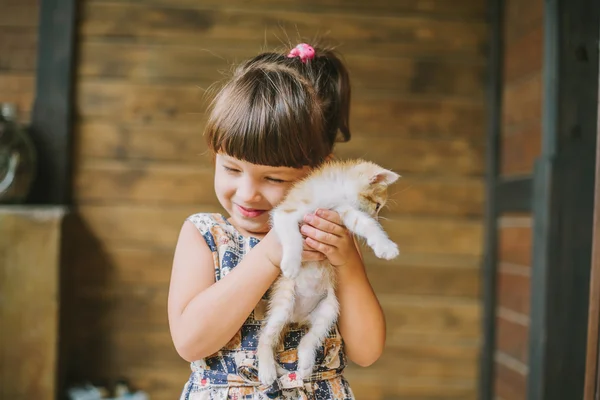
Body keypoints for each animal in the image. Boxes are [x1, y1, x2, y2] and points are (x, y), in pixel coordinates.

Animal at [256, 159, 400, 384]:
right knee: (264, 336)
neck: (334, 192)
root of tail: (298, 317)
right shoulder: (286, 211)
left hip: (328, 311)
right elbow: (291, 233)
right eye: (377, 205)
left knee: (307, 340)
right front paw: (291, 263)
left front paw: (384, 246)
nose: (378, 217)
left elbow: (364, 223)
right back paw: (266, 370)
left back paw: (305, 367)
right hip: (283, 305)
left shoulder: (343, 210)